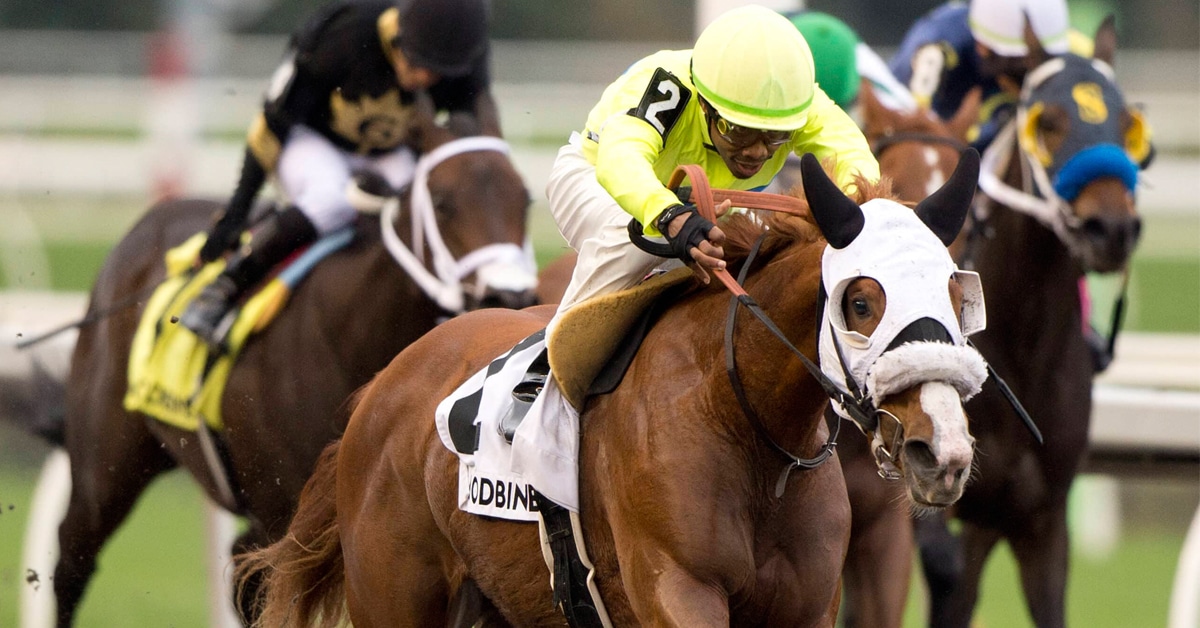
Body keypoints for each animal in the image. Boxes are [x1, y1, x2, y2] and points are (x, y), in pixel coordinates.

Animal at [49, 106, 539, 625]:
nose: (509, 295)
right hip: (106, 464)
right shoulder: (285, 503)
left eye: (525, 200)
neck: (348, 330)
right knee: (73, 556)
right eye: (444, 202)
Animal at [239, 151, 990, 627]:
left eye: (960, 295)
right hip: (395, 596)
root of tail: (378, 391)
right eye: (861, 302)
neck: (743, 424)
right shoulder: (678, 589)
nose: (942, 452)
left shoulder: (806, 606)